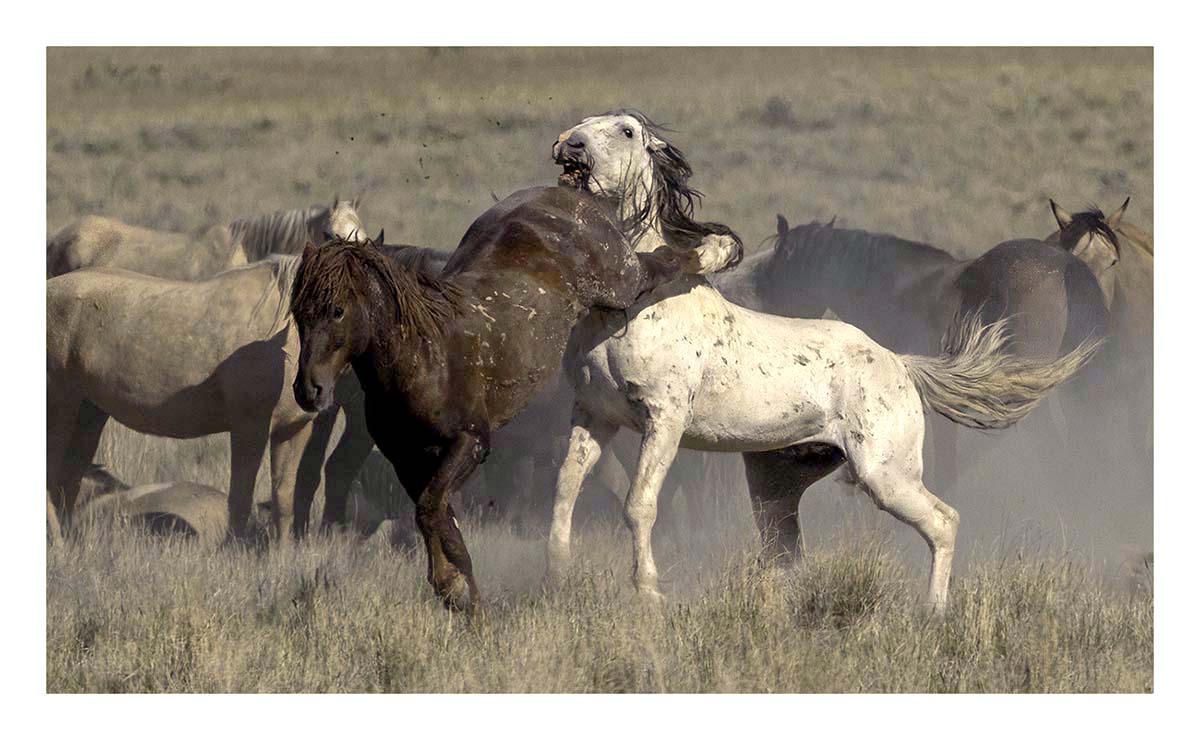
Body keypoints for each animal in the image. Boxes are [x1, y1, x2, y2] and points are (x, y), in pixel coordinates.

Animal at [289, 185, 736, 612]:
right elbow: (436, 515)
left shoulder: (471, 443)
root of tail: (565, 196)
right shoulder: (410, 459)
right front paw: (459, 592)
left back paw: (719, 248)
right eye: (298, 312)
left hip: (622, 280)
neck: (425, 353)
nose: (309, 390)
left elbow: (431, 509)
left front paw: (456, 589)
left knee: (664, 261)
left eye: (337, 311)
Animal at [546, 110, 1101, 611]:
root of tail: (902, 364)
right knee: (787, 551)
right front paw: (556, 576)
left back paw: (934, 611)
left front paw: (648, 592)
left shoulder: (663, 419)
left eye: (626, 130)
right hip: (779, 481)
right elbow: (565, 491)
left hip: (885, 474)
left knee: (944, 521)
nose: (569, 146)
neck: (636, 302)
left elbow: (639, 505)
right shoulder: (593, 415)